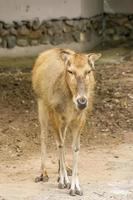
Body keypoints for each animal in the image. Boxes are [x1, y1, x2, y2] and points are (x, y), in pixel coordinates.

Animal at [32, 48, 101, 195]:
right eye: (70, 71)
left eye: (88, 71)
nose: (82, 102)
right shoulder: (54, 114)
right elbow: (60, 144)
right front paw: (64, 182)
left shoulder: (80, 118)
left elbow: (75, 147)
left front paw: (75, 187)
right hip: (41, 104)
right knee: (44, 136)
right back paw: (43, 173)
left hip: (64, 121)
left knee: (61, 138)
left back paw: (65, 169)